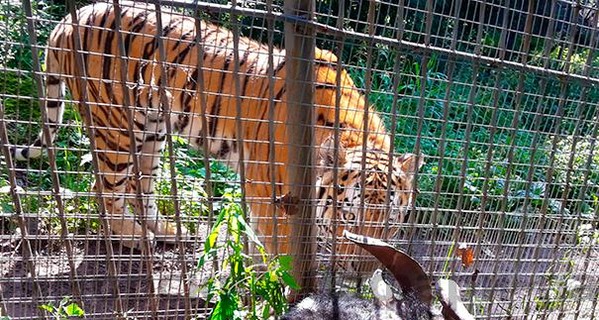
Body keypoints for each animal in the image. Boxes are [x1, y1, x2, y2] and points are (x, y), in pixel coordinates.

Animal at [14, 0, 424, 276]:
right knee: (104, 188)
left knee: (141, 184)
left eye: (389, 223)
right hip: (114, 126)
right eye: (347, 217)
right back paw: (134, 238)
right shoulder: (268, 195)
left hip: (152, 129)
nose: (362, 272)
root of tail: (67, 20)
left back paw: (169, 231)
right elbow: (280, 250)